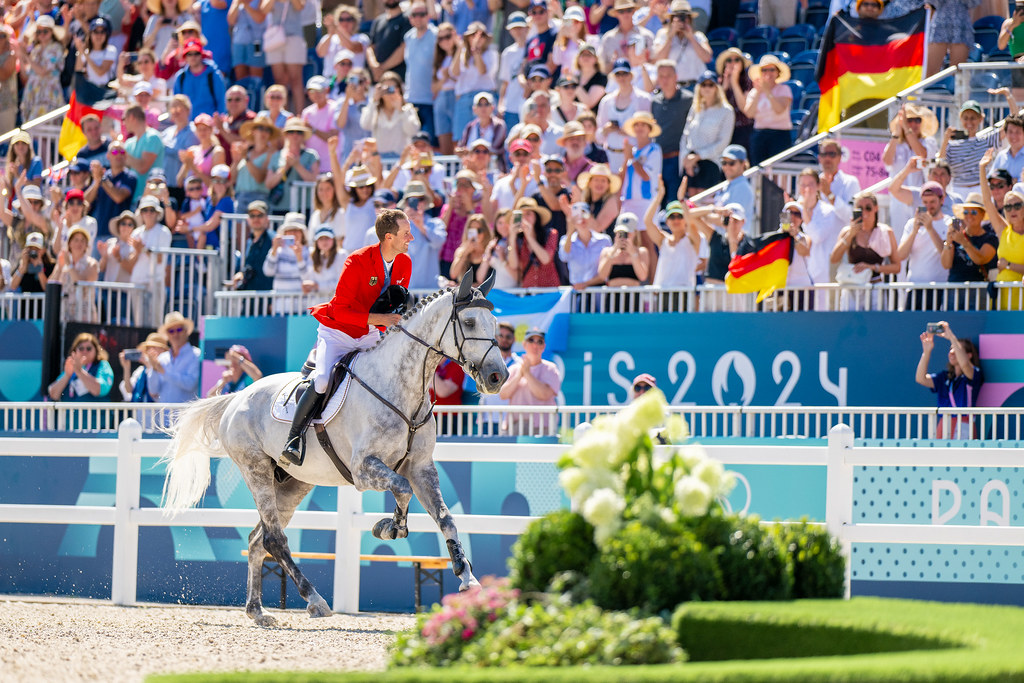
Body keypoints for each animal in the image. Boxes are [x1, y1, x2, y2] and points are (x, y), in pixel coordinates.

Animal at [159, 274, 507, 626]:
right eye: (469, 321)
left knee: (259, 540)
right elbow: (402, 489)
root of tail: (236, 397)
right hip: (255, 469)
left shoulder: (421, 467)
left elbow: (445, 516)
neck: (403, 388)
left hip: (295, 483)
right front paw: (390, 528)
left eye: (494, 323)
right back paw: (314, 599)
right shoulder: (364, 469)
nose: (498, 377)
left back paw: (257, 611)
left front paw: (466, 577)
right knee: (274, 538)